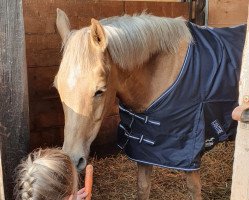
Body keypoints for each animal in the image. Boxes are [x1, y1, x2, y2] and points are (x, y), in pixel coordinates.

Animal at [54, 8, 245, 199]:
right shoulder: (144, 148)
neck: (163, 73)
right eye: (58, 88)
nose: (72, 160)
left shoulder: (190, 153)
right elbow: (143, 187)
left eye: (99, 90)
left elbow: (193, 189)